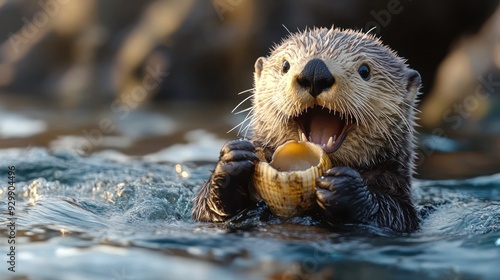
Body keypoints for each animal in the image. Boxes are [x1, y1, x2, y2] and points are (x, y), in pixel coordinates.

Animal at [191, 27, 422, 232]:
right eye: (285, 65)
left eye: (365, 70)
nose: (315, 71)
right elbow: (202, 210)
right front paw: (233, 160)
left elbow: (396, 213)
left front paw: (345, 187)